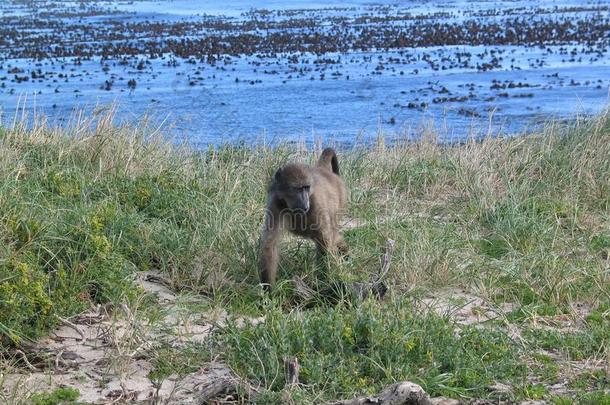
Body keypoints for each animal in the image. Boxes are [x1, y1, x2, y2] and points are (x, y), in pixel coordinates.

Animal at [258, 147, 350, 288]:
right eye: (298, 189)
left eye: (306, 188)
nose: (306, 204)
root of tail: (324, 171)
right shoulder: (275, 204)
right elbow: (270, 244)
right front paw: (269, 290)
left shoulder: (316, 202)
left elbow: (325, 240)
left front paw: (324, 281)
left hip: (340, 201)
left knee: (332, 236)